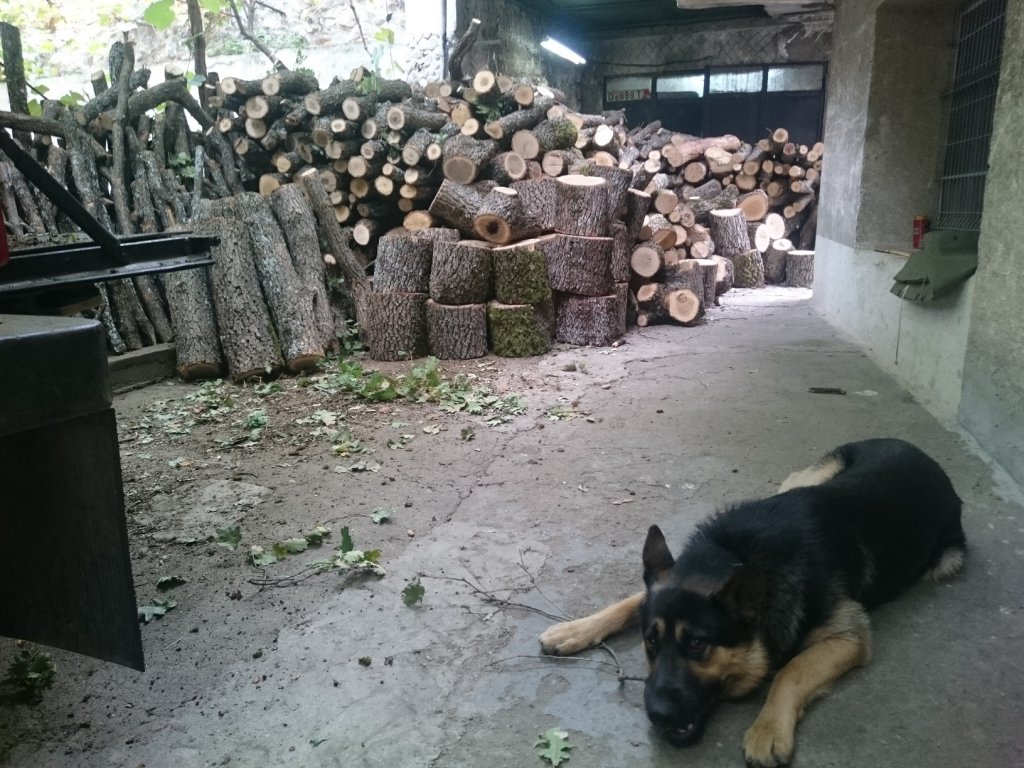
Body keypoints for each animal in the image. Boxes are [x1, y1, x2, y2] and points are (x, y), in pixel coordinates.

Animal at [539, 438, 965, 767]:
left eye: (698, 644)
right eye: (651, 641)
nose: (657, 716)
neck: (735, 553)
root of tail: (922, 453)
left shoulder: (849, 636)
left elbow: (790, 669)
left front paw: (768, 728)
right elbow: (630, 600)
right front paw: (576, 628)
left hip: (948, 561)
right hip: (806, 477)